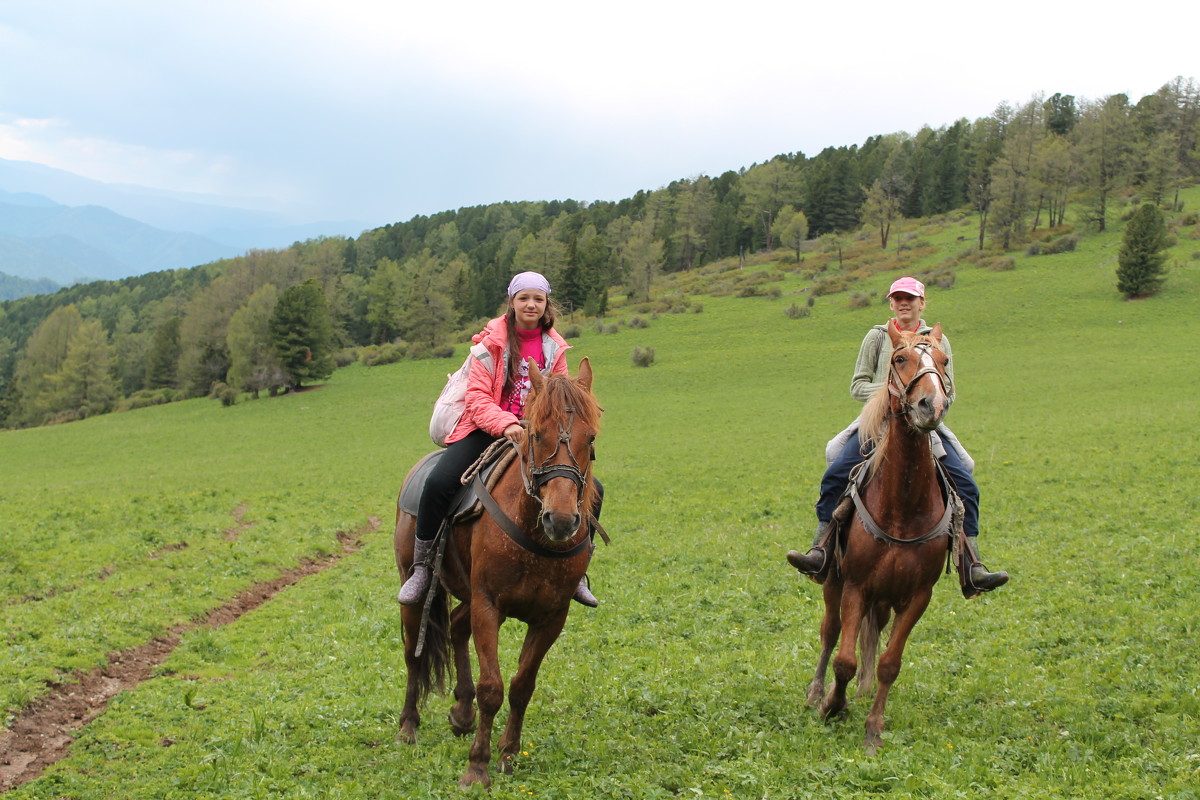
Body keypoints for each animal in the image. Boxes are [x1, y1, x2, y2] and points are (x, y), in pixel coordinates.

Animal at [393, 359, 600, 791]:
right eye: (535, 434)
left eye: (590, 439)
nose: (561, 520)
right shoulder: (488, 605)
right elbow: (493, 688)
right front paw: (477, 767)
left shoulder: (551, 617)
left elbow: (522, 686)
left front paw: (507, 755)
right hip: (417, 590)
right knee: (413, 655)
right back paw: (408, 727)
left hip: (467, 595)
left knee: (456, 628)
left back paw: (461, 714)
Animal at [806, 321, 955, 753]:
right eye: (899, 358)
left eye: (944, 361)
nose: (931, 406)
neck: (902, 505)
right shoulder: (856, 584)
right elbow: (844, 659)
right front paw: (832, 706)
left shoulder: (919, 596)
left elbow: (890, 663)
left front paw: (873, 728)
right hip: (834, 579)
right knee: (830, 631)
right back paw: (815, 694)